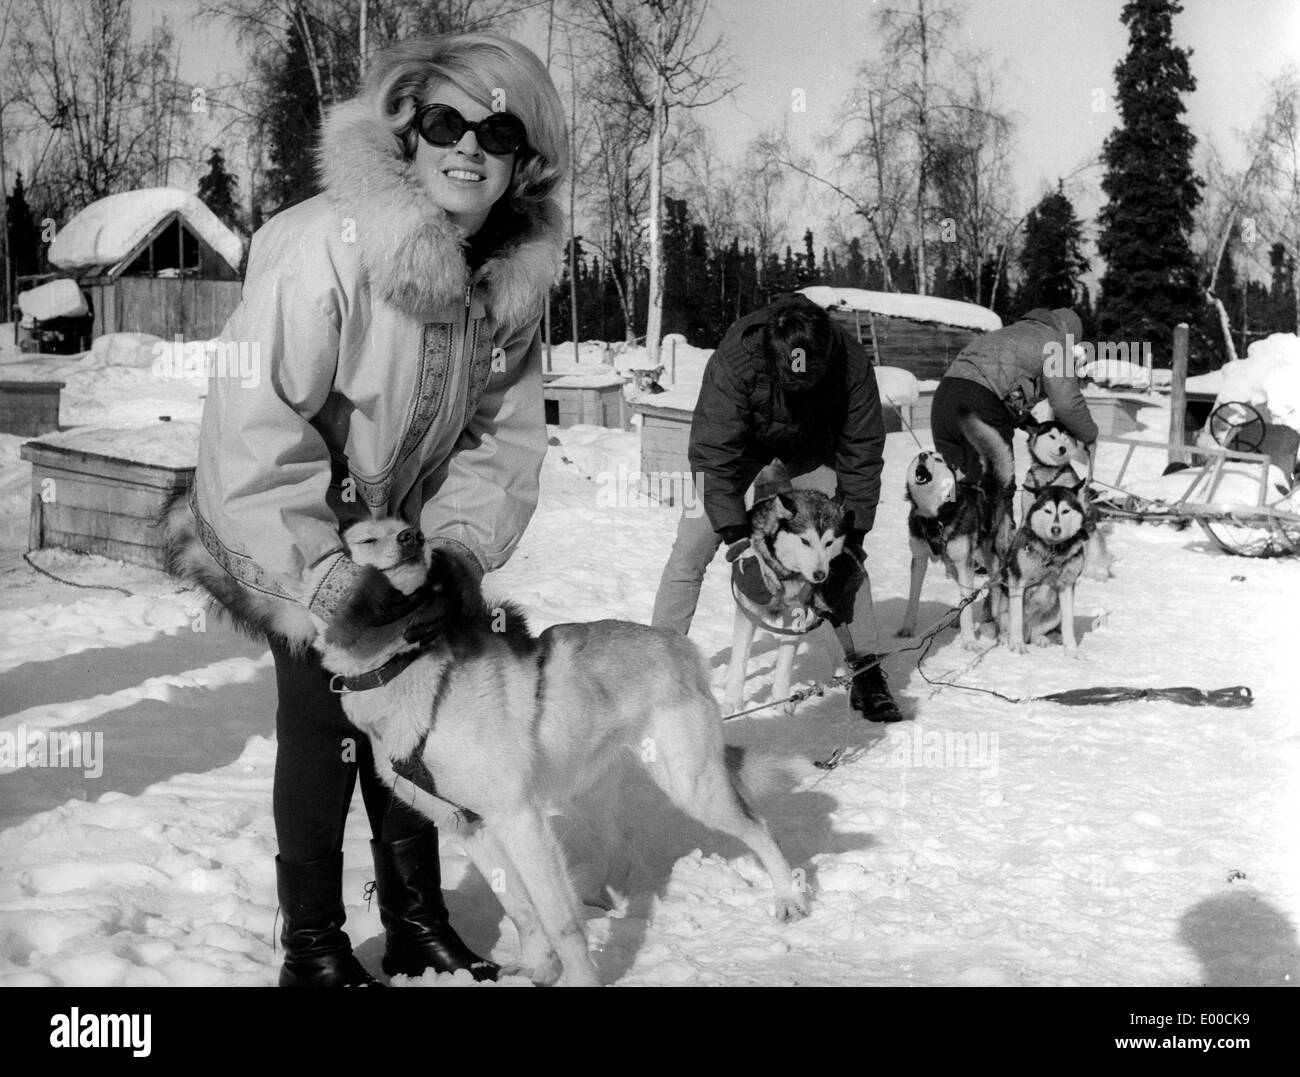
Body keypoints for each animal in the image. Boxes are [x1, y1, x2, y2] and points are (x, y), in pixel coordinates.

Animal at [317, 517, 800, 988]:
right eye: (365, 539)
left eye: (404, 527)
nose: (412, 538)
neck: (411, 677)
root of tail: (675, 643)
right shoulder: (469, 826)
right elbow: (520, 910)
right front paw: (539, 968)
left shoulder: (519, 820)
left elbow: (558, 922)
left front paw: (577, 975)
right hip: (582, 791)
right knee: (621, 839)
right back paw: (599, 895)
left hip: (691, 786)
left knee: (759, 828)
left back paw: (788, 898)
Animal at [722, 491, 852, 718]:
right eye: (805, 541)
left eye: (829, 543)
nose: (820, 574)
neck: (784, 574)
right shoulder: (748, 611)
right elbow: (739, 661)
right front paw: (732, 704)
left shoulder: (796, 616)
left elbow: (785, 662)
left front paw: (781, 701)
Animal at [904, 411, 1013, 647]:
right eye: (916, 457)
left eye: (938, 459)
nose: (923, 455)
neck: (935, 517)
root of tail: (989, 483)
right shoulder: (919, 559)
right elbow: (913, 597)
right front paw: (906, 629)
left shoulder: (965, 563)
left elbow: (968, 606)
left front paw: (969, 641)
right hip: (954, 565)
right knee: (968, 594)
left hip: (989, 559)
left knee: (995, 590)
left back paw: (999, 623)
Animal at [987, 489, 1092, 655]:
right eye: (1047, 510)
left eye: (1065, 511)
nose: (1056, 529)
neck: (1053, 552)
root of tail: (1027, 632)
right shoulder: (1017, 580)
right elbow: (1016, 618)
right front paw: (1017, 645)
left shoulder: (1067, 583)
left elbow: (1068, 622)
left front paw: (1071, 650)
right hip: (997, 599)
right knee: (1003, 625)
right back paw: (1005, 637)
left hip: (1055, 612)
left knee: (1037, 633)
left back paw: (1041, 639)